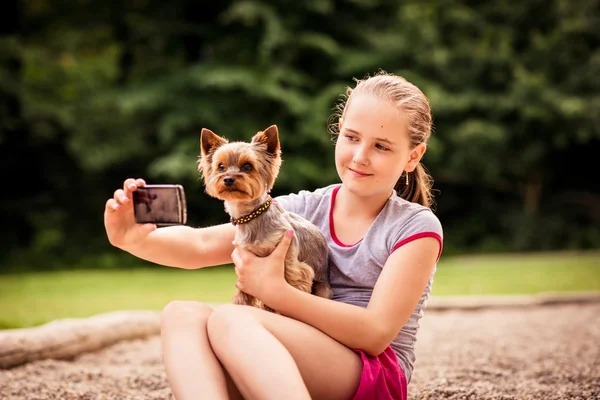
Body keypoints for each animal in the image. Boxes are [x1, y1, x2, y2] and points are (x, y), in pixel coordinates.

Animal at [200, 123, 332, 310]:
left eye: (248, 166)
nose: (228, 179)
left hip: (322, 288)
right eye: (221, 166)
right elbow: (244, 294)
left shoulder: (294, 266)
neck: (251, 216)